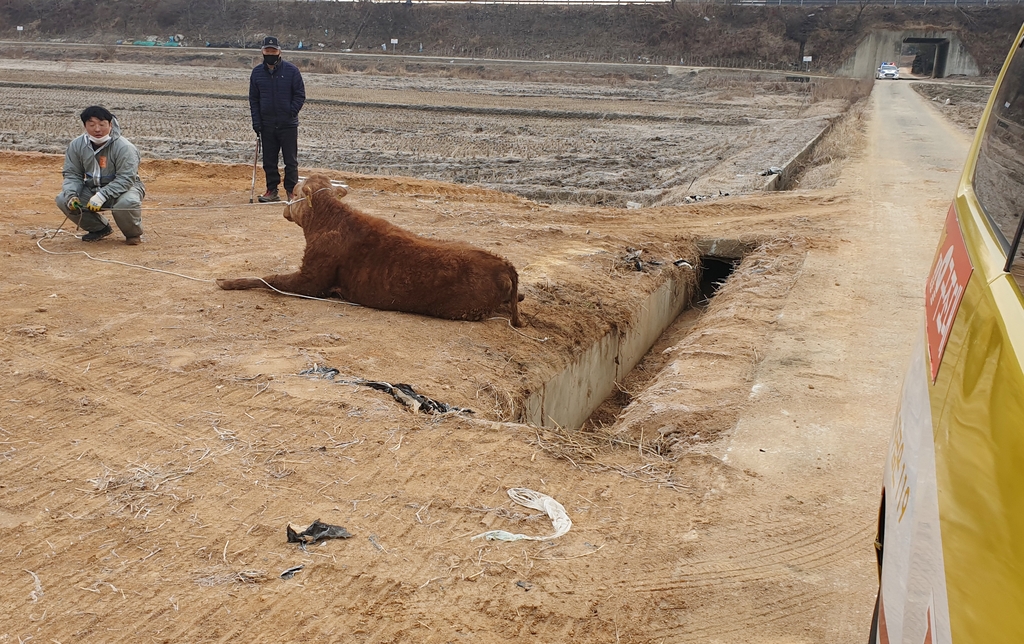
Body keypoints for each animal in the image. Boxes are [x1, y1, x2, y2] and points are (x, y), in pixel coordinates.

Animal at [214, 172, 520, 325]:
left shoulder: (311, 281)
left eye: (297, 191)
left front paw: (226, 281)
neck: (327, 220)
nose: (285, 207)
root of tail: (503, 265)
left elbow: (269, 279)